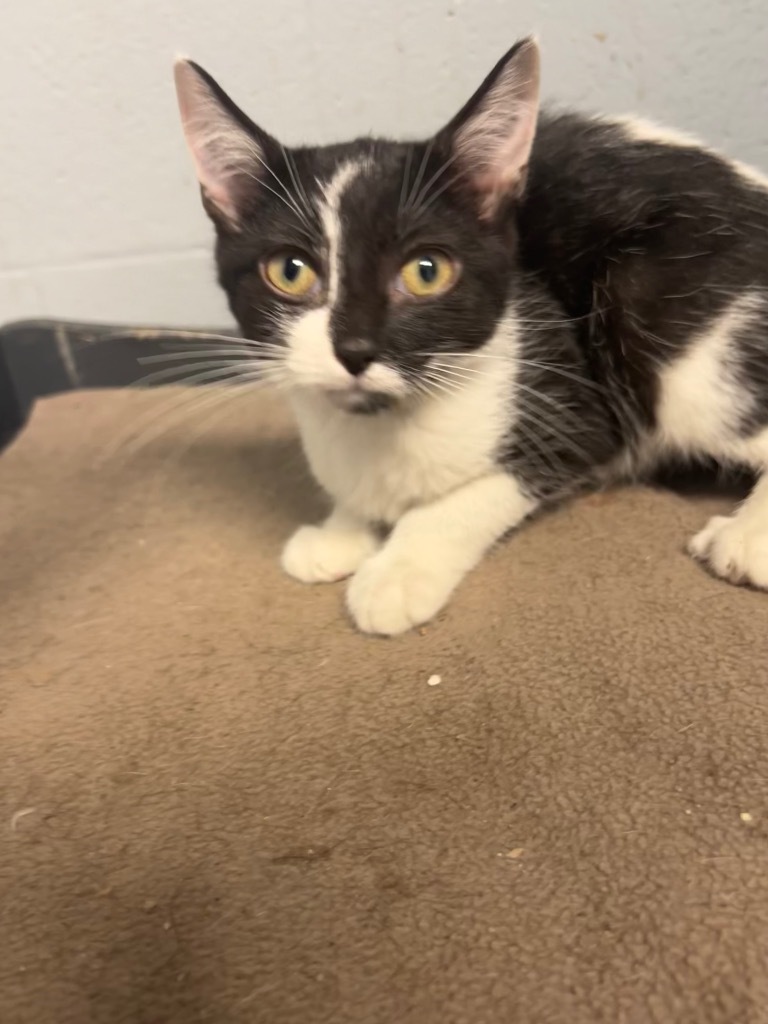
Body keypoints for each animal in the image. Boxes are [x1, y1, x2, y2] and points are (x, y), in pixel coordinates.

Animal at [173, 37, 768, 630]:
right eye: (290, 270)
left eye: (427, 271)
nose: (355, 348)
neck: (387, 421)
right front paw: (340, 531)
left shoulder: (573, 403)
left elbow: (471, 495)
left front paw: (397, 575)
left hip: (656, 314)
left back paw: (746, 539)